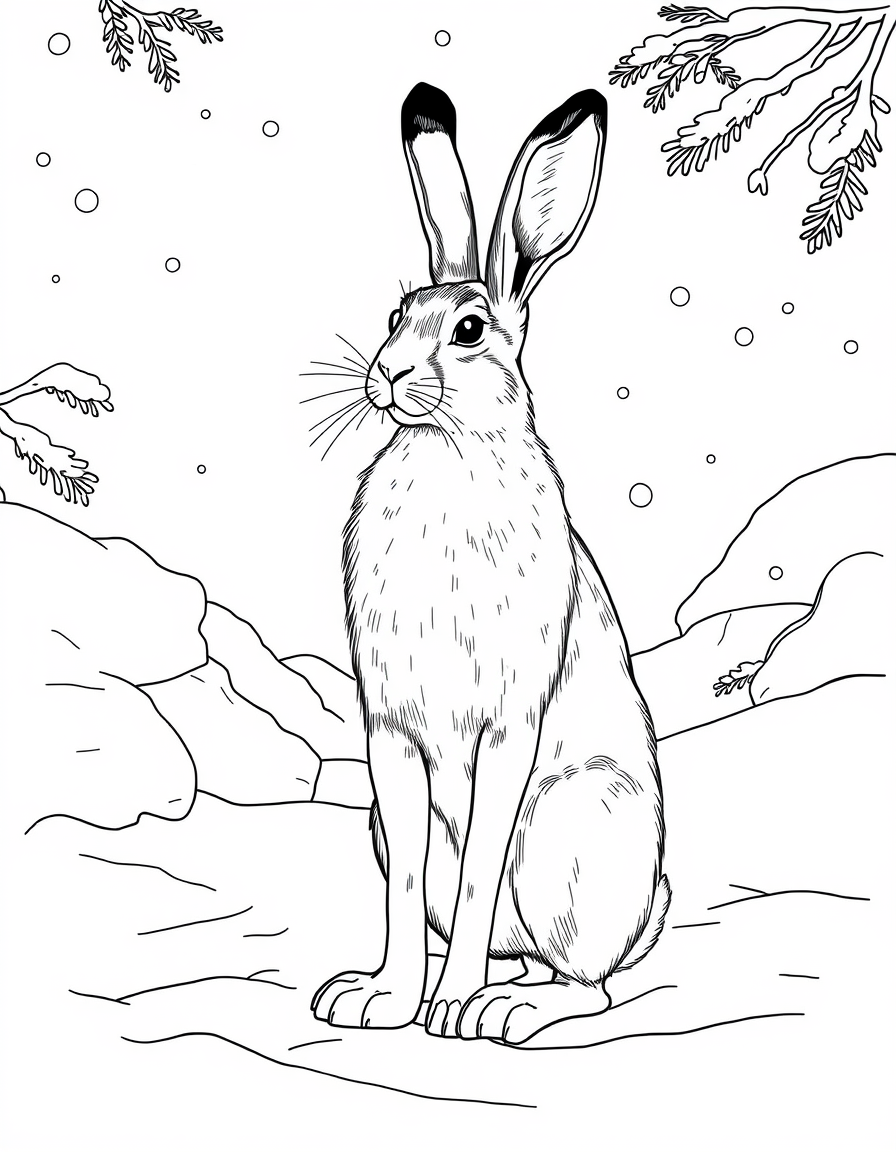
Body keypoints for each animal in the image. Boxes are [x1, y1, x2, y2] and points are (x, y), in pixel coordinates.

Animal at [311, 82, 669, 1046]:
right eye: (395, 317)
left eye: (470, 331)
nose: (386, 375)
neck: (448, 444)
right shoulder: (391, 736)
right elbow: (403, 890)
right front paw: (379, 1000)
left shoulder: (506, 728)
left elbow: (477, 873)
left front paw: (445, 1011)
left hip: (573, 830)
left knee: (587, 983)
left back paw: (500, 1006)